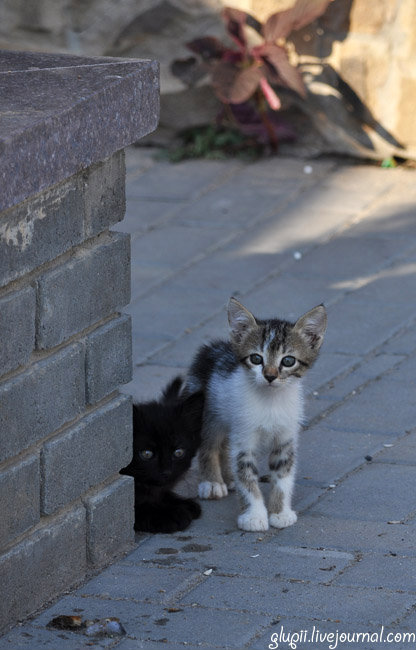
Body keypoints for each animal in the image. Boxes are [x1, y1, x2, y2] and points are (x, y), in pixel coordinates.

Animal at [119, 374, 204, 532]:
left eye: (178, 452)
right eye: (146, 454)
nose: (166, 471)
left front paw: (180, 503)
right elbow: (136, 510)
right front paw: (169, 515)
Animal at [184, 296, 324, 528]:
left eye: (288, 361)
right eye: (256, 359)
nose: (270, 376)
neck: (270, 402)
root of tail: (213, 349)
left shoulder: (285, 437)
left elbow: (283, 477)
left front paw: (280, 512)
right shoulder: (244, 439)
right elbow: (246, 477)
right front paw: (254, 516)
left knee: (225, 446)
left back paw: (227, 477)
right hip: (210, 414)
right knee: (210, 444)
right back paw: (212, 482)